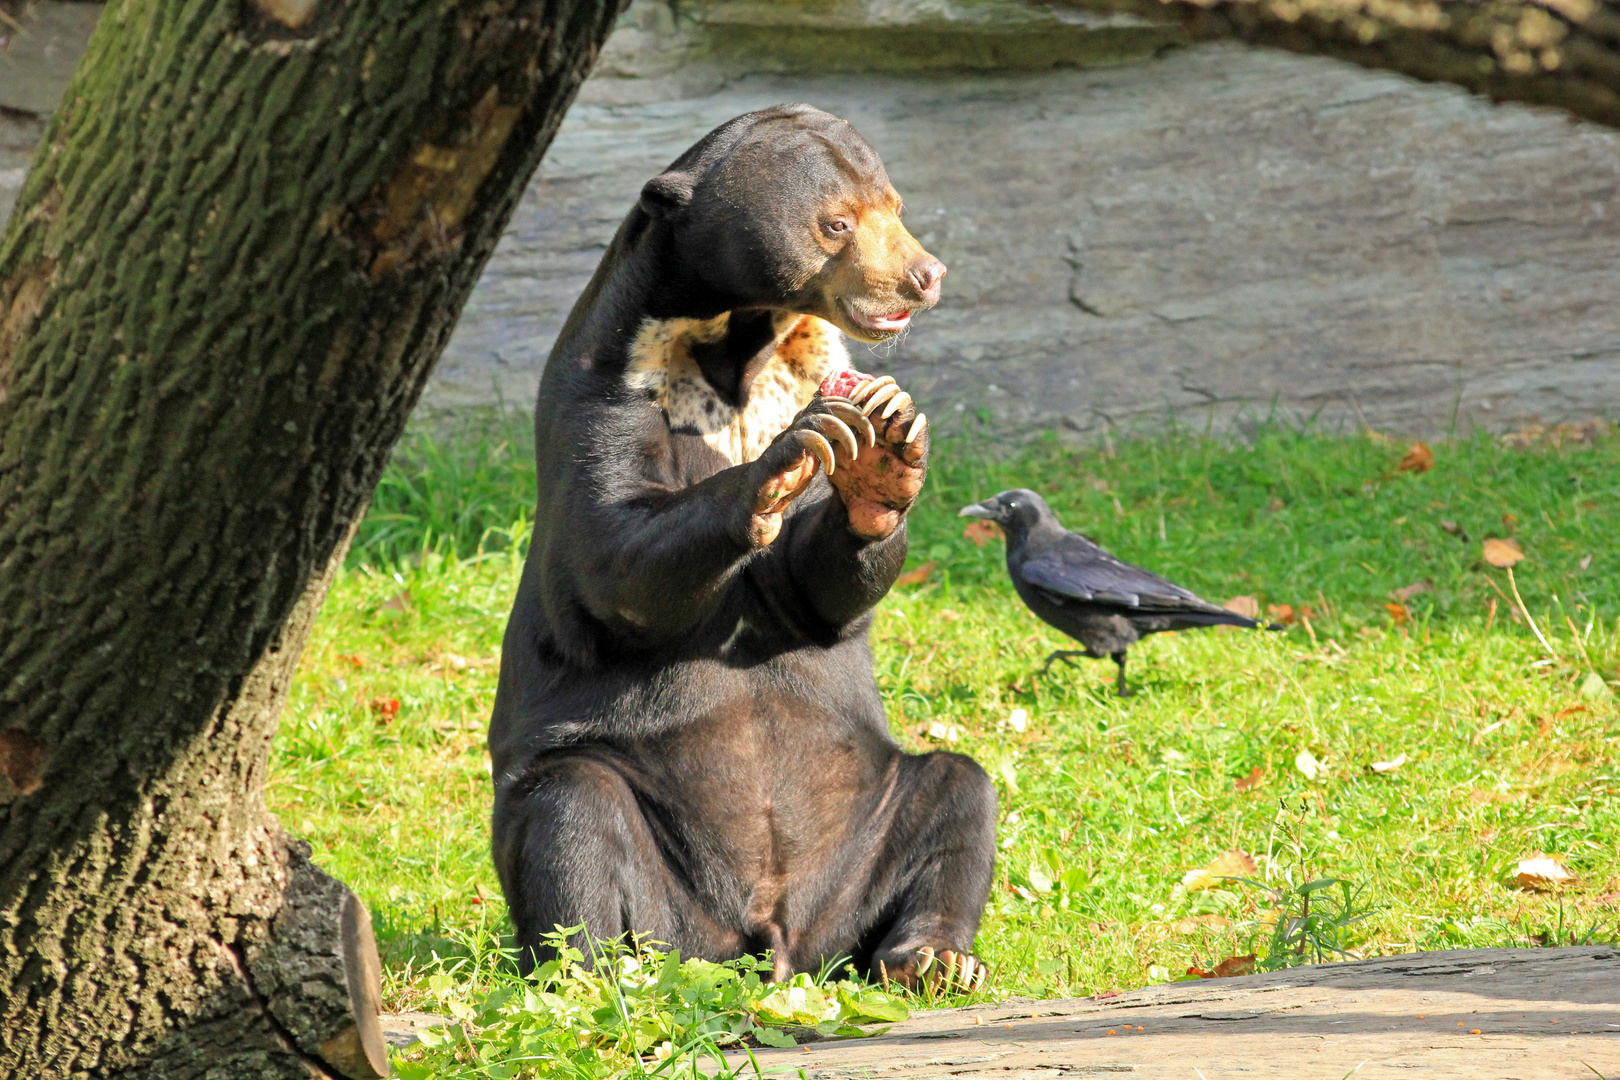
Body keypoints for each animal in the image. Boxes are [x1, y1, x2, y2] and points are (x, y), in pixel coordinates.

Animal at [486, 105, 991, 990]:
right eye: (835, 222)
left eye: (893, 206)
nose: (924, 276)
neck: (734, 346)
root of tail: (772, 935)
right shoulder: (608, 386)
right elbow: (612, 560)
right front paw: (785, 458)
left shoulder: (809, 366)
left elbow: (812, 590)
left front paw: (882, 453)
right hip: (631, 812)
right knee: (573, 813)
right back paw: (604, 973)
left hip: (869, 814)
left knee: (957, 794)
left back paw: (931, 957)